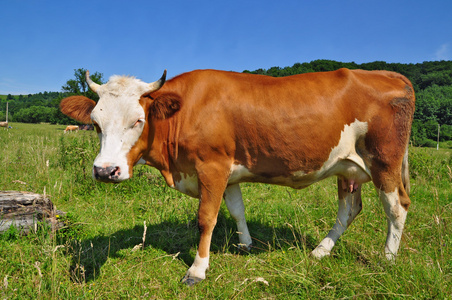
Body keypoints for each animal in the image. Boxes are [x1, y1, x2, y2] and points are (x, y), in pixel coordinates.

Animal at [61, 68, 416, 286]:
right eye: (95, 123)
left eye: (138, 120)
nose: (105, 170)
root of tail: (390, 74)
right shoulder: (227, 173)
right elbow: (236, 210)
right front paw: (245, 243)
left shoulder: (211, 166)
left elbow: (206, 218)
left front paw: (198, 269)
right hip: (348, 167)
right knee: (349, 209)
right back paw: (320, 251)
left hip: (384, 161)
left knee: (396, 207)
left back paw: (387, 259)